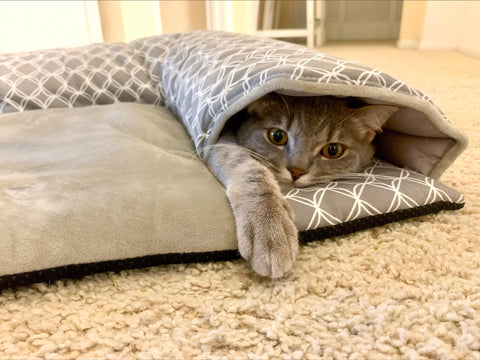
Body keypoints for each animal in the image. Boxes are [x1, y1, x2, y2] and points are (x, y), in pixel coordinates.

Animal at [206, 93, 398, 278]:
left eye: (333, 150)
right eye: (277, 136)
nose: (296, 170)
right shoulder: (218, 143)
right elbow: (248, 166)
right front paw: (270, 231)